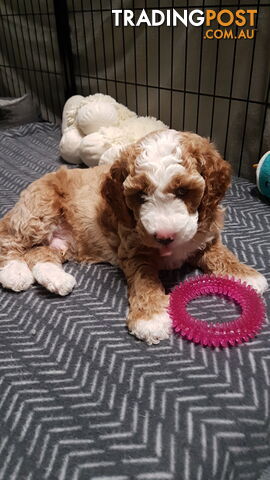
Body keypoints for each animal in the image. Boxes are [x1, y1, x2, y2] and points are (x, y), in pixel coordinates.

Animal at [0, 129, 266, 344]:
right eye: (139, 195)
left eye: (183, 191)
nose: (165, 236)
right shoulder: (134, 250)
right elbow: (145, 281)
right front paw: (150, 318)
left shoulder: (205, 236)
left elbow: (220, 253)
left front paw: (246, 275)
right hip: (39, 209)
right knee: (8, 239)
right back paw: (14, 273)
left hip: (62, 242)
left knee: (38, 253)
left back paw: (56, 279)